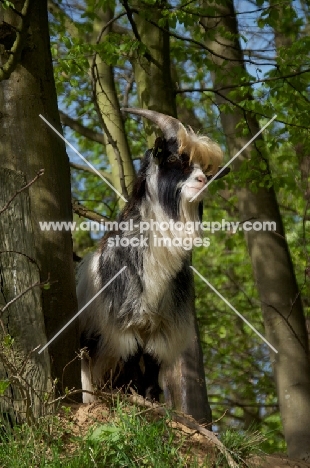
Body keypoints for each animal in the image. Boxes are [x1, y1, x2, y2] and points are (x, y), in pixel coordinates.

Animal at [77, 109, 225, 402]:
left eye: (205, 170)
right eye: (173, 158)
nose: (201, 181)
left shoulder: (162, 326)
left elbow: (152, 362)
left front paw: (151, 398)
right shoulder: (124, 324)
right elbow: (134, 357)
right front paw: (136, 396)